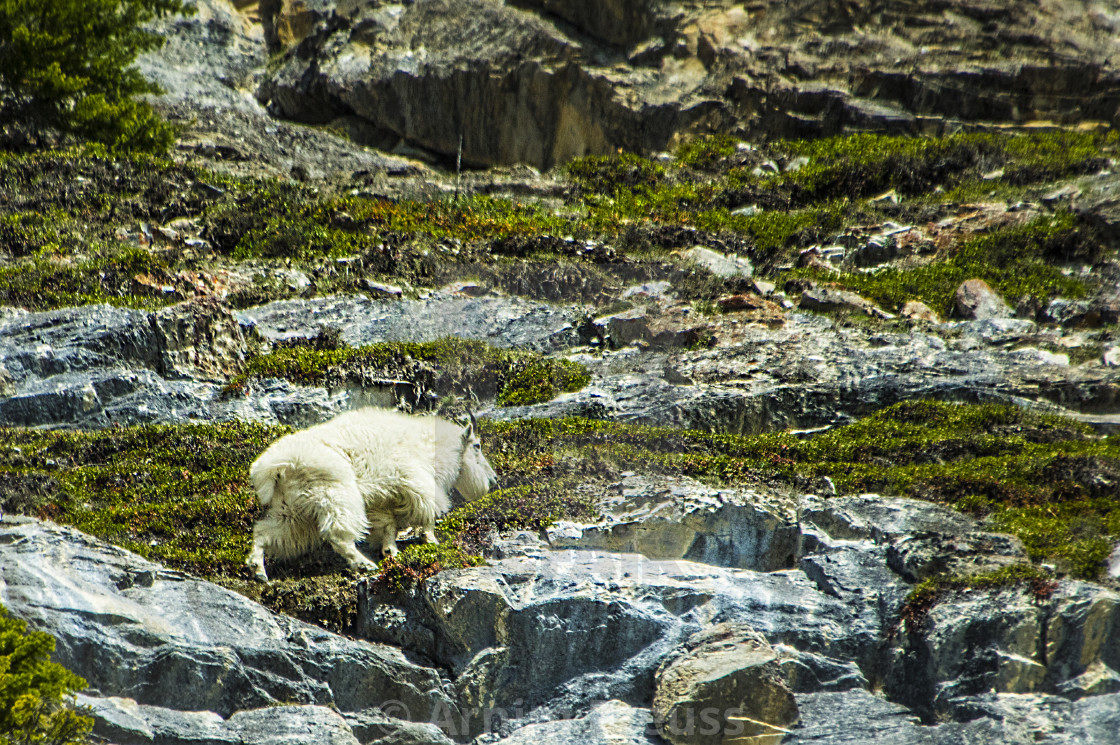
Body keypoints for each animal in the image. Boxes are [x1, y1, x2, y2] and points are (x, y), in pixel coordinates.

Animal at [247, 407, 497, 582]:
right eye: (477, 446)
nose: (493, 479)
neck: (432, 445)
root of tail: (273, 467)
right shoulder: (415, 481)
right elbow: (427, 513)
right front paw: (431, 541)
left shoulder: (382, 498)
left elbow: (388, 525)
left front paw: (390, 551)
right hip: (335, 493)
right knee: (338, 535)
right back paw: (363, 564)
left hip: (291, 509)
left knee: (266, 531)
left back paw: (258, 569)